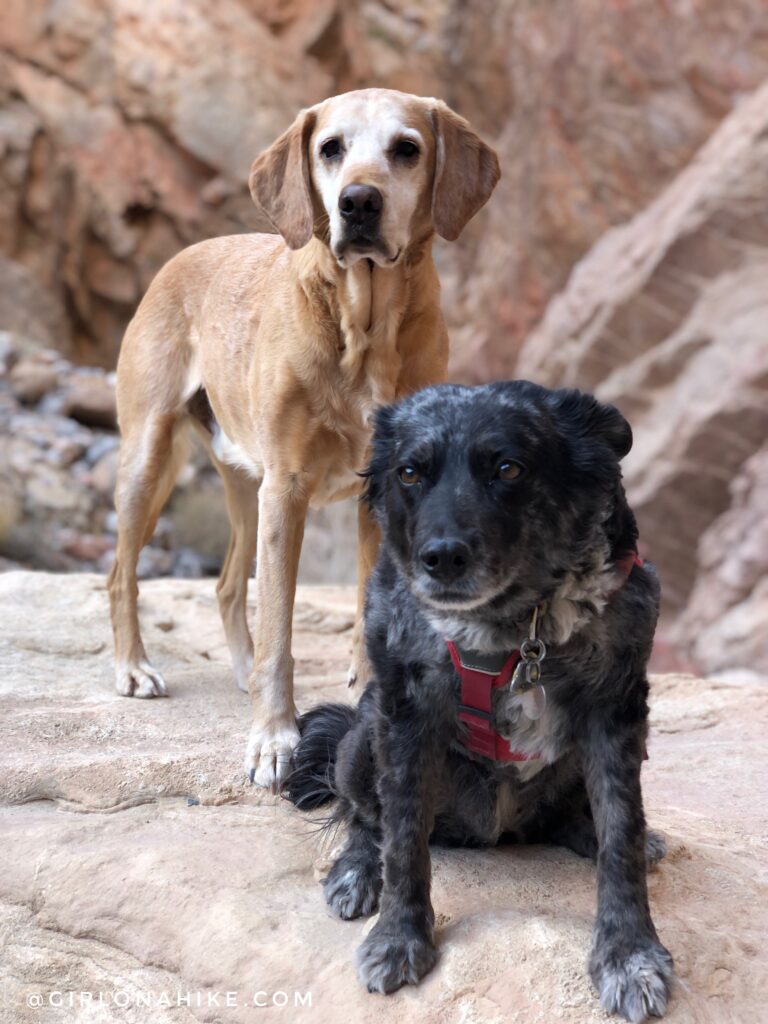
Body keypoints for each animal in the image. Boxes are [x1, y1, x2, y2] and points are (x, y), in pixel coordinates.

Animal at [109, 90, 505, 790]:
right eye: (331, 149)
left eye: (407, 148)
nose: (358, 202)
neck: (362, 325)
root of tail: (180, 256)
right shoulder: (288, 488)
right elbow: (280, 631)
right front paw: (274, 739)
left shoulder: (385, 493)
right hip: (151, 459)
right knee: (121, 574)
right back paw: (134, 666)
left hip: (245, 485)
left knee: (226, 583)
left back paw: (238, 671)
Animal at [286, 380, 671, 1019]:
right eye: (410, 472)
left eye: (507, 467)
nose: (441, 557)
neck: (519, 626)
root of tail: (497, 831)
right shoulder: (405, 713)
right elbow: (404, 840)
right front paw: (399, 936)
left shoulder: (616, 711)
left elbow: (623, 832)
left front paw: (629, 954)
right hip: (364, 736)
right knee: (363, 813)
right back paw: (358, 868)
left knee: (569, 817)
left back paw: (585, 830)